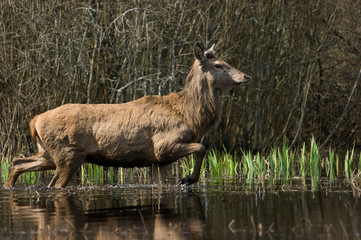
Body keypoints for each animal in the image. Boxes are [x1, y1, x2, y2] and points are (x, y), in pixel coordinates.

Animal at [3, 43, 250, 189]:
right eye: (218, 65)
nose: (246, 76)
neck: (191, 116)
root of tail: (35, 121)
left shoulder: (159, 161)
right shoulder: (164, 145)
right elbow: (202, 147)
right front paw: (189, 178)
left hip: (48, 153)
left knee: (17, 162)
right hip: (68, 154)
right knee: (52, 184)